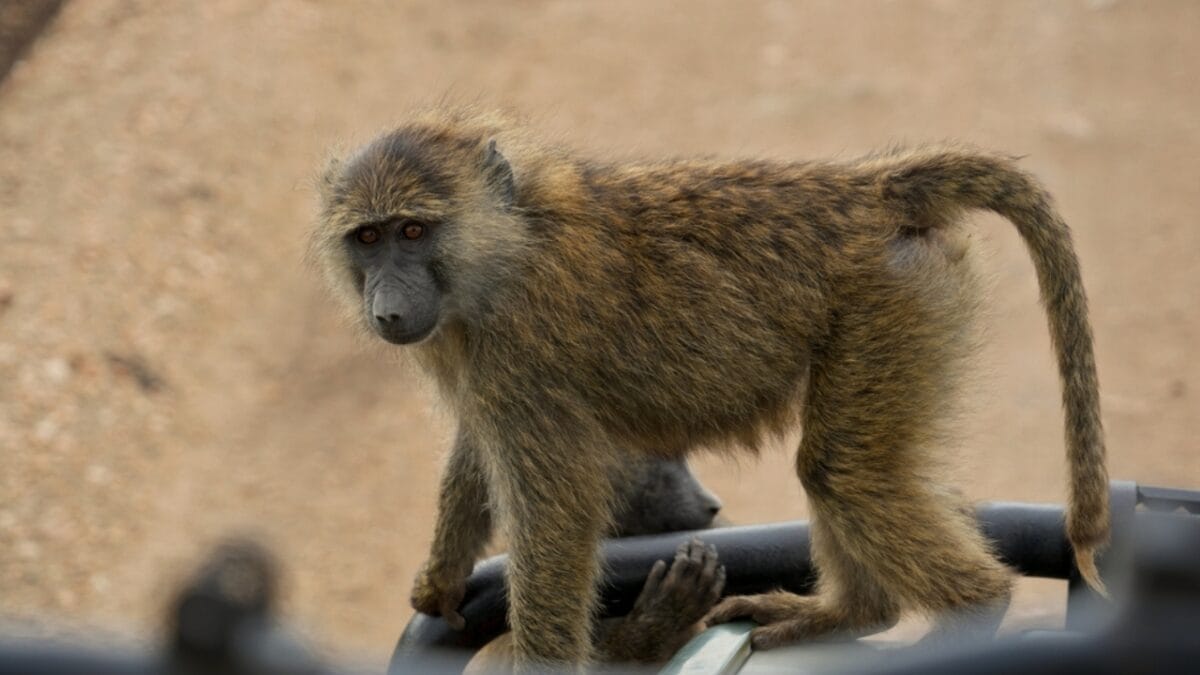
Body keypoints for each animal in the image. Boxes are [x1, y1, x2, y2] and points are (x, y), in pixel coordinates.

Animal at [309, 106, 1108, 669]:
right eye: (369, 238)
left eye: (414, 230)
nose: (387, 308)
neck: (507, 238)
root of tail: (864, 190)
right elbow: (479, 446)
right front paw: (440, 581)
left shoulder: (520, 350)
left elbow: (554, 517)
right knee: (843, 470)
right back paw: (855, 615)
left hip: (893, 301)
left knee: (842, 472)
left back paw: (973, 607)